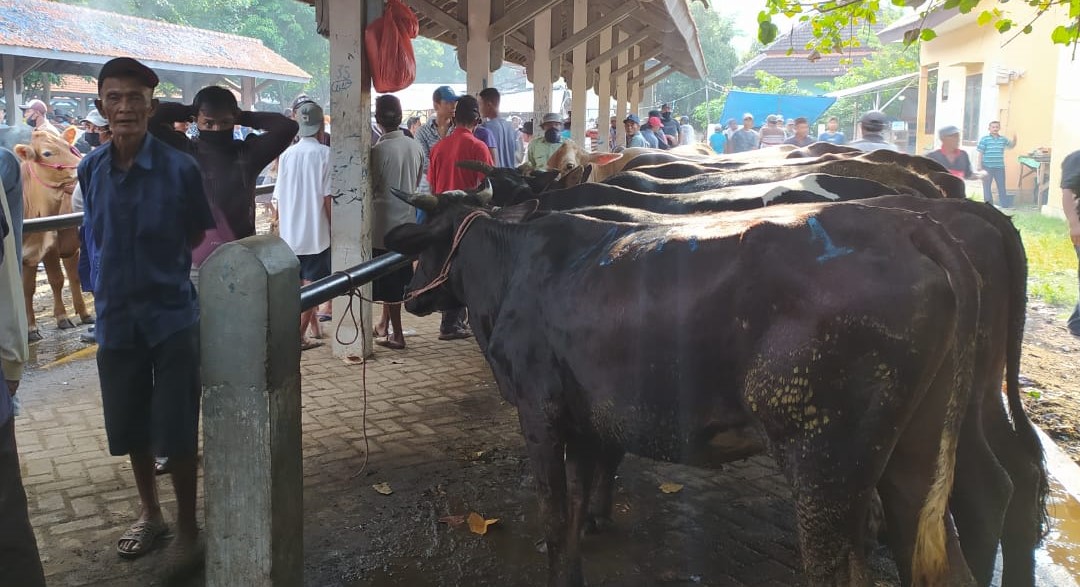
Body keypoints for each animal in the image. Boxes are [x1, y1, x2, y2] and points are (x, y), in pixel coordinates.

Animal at [14, 128, 92, 338]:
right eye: (47, 153)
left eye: (68, 147)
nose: (81, 164)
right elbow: (29, 286)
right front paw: (31, 328)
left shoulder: (46, 247)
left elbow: (54, 280)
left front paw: (61, 318)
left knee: (73, 275)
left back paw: (85, 314)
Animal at [386, 187, 980, 587]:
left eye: (421, 245)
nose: (410, 294)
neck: (510, 272)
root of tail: (905, 225)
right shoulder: (584, 422)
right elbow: (577, 508)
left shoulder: (539, 412)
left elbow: (554, 519)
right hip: (912, 460)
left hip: (824, 460)